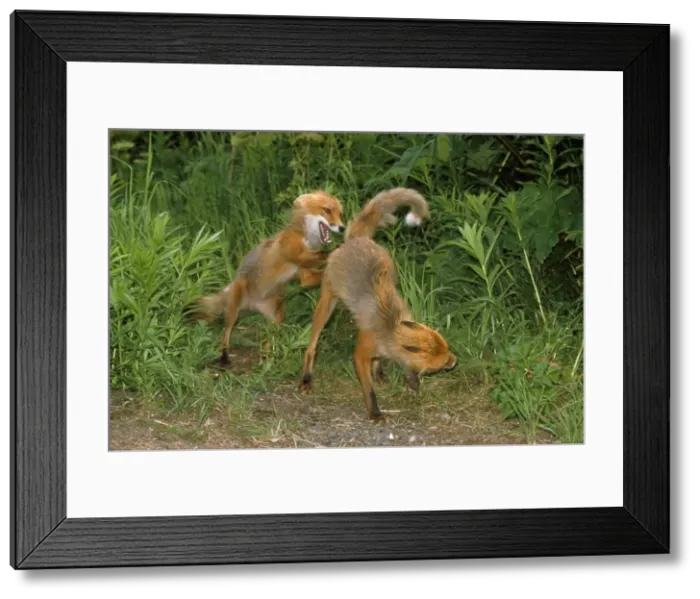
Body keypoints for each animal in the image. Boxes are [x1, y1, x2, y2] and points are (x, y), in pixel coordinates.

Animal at [190, 189, 345, 366]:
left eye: (340, 214)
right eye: (327, 210)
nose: (342, 227)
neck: (305, 238)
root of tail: (253, 304)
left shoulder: (305, 275)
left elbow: (312, 276)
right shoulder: (295, 253)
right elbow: (321, 254)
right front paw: (337, 249)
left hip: (277, 317)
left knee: (267, 340)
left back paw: (267, 358)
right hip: (233, 311)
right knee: (225, 334)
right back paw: (225, 357)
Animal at [298, 187, 457, 421]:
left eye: (447, 351)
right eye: (442, 362)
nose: (455, 361)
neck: (390, 327)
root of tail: (356, 239)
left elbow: (406, 367)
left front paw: (411, 383)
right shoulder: (360, 355)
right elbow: (369, 390)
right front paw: (375, 413)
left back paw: (379, 372)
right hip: (326, 304)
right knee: (312, 346)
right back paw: (307, 378)